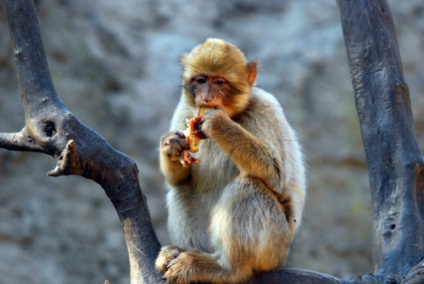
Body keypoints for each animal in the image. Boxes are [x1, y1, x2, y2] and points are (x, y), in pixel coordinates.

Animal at [156, 38, 304, 284]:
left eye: (219, 82)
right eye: (201, 80)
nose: (206, 98)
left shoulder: (265, 108)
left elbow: (277, 175)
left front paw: (219, 124)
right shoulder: (185, 108)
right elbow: (178, 179)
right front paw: (171, 144)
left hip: (275, 246)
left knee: (248, 188)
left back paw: (227, 268)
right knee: (182, 189)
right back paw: (182, 251)